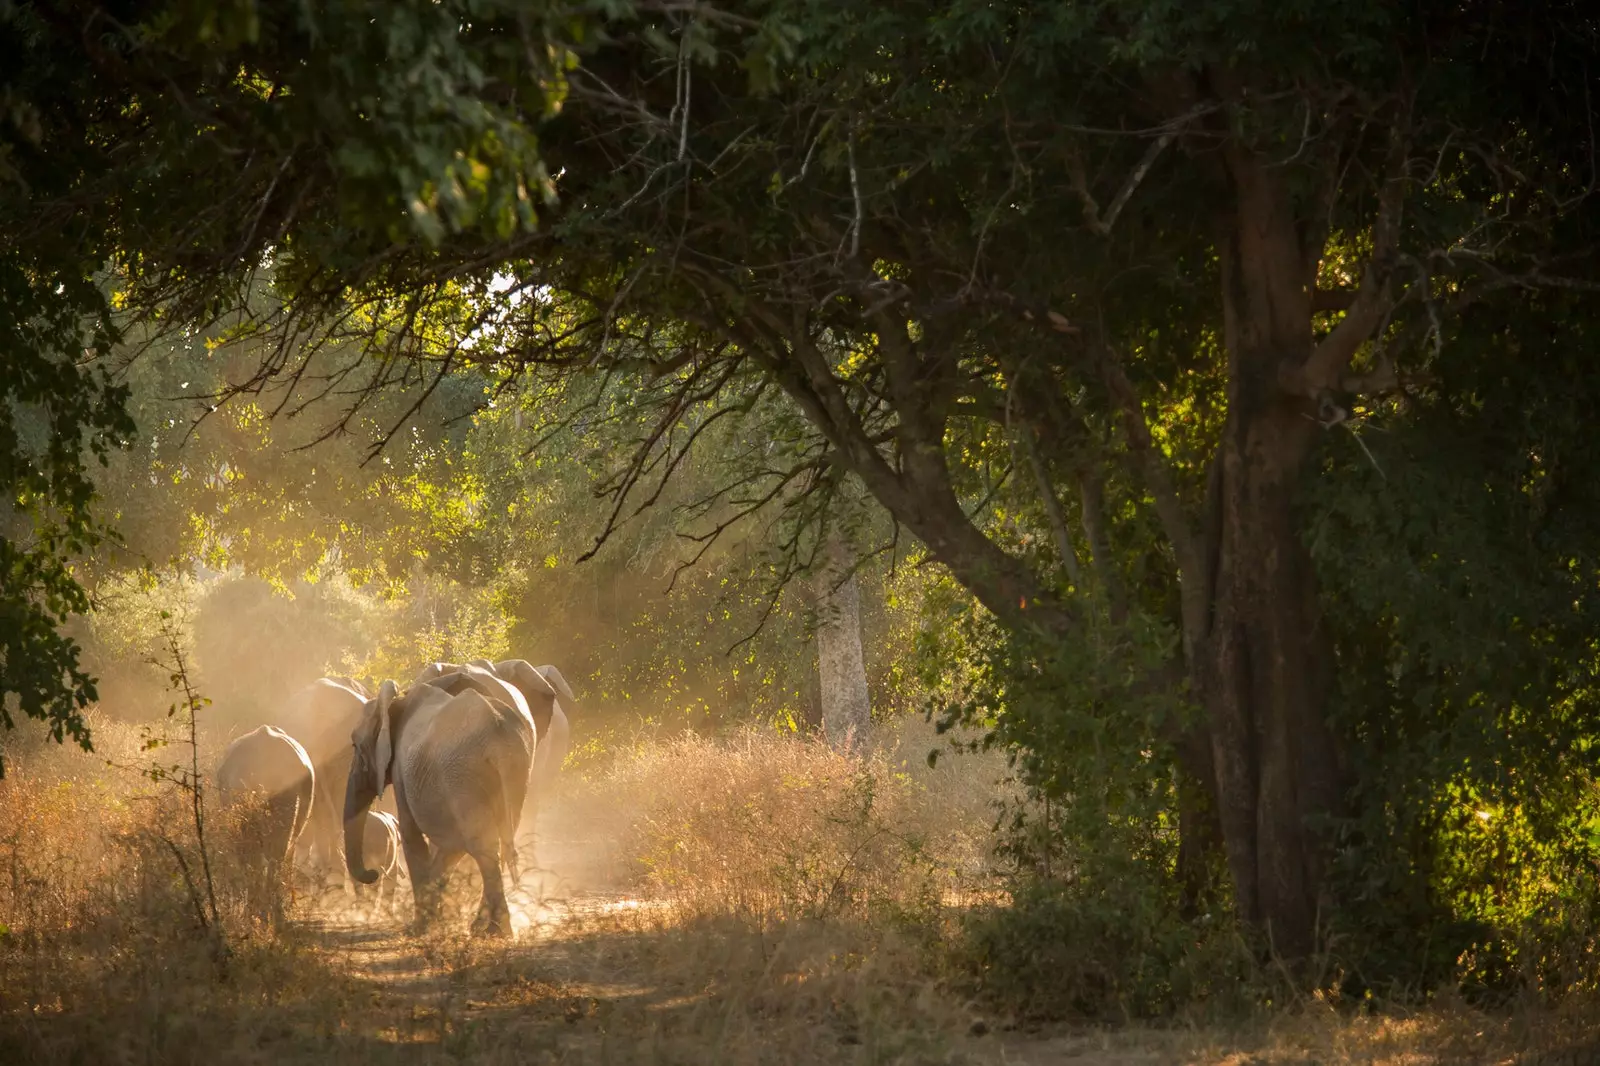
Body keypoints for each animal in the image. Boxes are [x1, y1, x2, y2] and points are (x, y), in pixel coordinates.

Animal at [342, 675, 531, 934]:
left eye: (354, 745)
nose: (372, 874)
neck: (394, 704)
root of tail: (498, 736)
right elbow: (450, 846)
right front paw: (435, 920)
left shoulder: (401, 772)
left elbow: (412, 835)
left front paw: (417, 929)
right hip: (515, 771)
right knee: (493, 840)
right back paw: (483, 929)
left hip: (462, 774)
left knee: (482, 844)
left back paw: (494, 932)